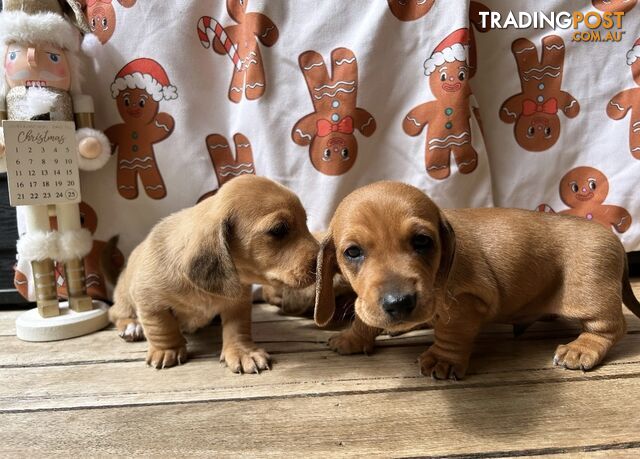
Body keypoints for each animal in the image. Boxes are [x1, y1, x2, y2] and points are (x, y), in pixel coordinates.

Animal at [112, 176, 320, 374]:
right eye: (278, 230)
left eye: (305, 222)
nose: (322, 260)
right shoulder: (150, 302)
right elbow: (162, 327)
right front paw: (167, 350)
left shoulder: (238, 304)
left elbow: (237, 329)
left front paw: (243, 352)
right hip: (124, 297)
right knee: (117, 313)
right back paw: (132, 326)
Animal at [316, 181, 640, 380]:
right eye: (352, 252)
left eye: (422, 241)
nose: (399, 303)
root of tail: (614, 240)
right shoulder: (369, 299)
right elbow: (364, 316)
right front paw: (353, 338)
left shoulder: (465, 302)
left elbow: (450, 333)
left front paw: (443, 360)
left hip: (589, 294)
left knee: (610, 328)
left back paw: (581, 348)